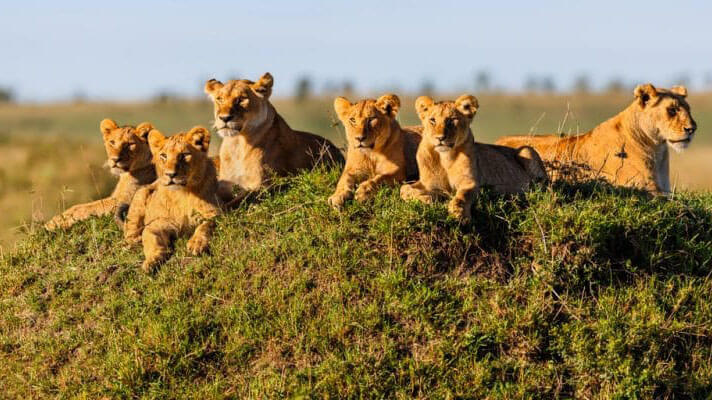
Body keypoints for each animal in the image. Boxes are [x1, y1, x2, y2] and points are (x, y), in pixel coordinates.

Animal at [123, 126, 220, 274]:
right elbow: (151, 240)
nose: (170, 174)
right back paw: (134, 241)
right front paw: (151, 261)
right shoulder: (157, 224)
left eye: (184, 155)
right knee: (130, 231)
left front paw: (196, 243)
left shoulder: (214, 213)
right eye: (164, 156)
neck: (181, 194)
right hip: (141, 193)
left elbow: (205, 226)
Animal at [203, 72, 344, 203]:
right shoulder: (224, 185)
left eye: (242, 99)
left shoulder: (270, 184)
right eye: (220, 99)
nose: (224, 118)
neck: (237, 144)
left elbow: (241, 199)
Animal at [404, 95, 548, 223]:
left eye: (452, 120)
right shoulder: (428, 183)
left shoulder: (470, 182)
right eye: (432, 120)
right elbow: (405, 189)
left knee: (542, 187)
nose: (440, 138)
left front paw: (459, 213)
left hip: (526, 150)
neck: (444, 158)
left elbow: (462, 196)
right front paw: (428, 199)